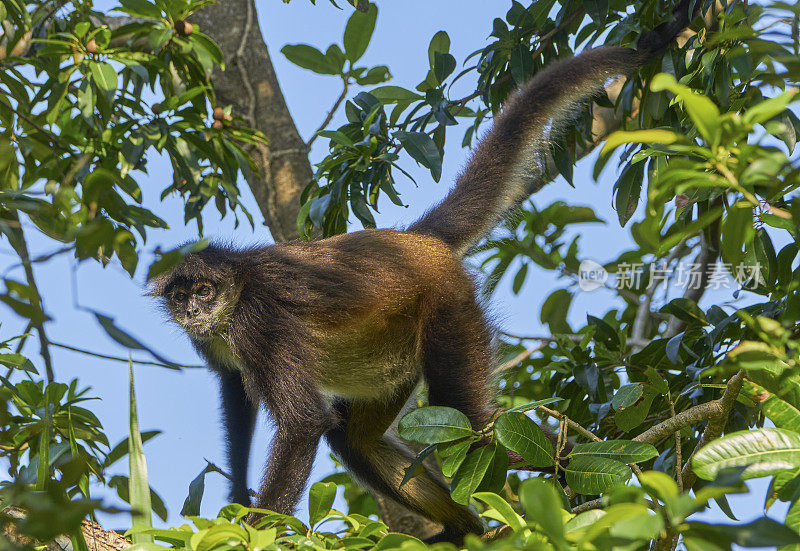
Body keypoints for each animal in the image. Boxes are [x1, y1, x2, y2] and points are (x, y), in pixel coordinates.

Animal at [152, 3, 700, 544]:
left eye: (206, 290)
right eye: (182, 297)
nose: (195, 308)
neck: (234, 296)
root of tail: (414, 242)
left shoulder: (258, 321)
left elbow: (304, 424)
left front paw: (255, 529)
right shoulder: (214, 340)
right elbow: (234, 388)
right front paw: (237, 494)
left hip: (448, 310)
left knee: (477, 431)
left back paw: (588, 464)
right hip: (390, 353)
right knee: (356, 439)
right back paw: (465, 528)